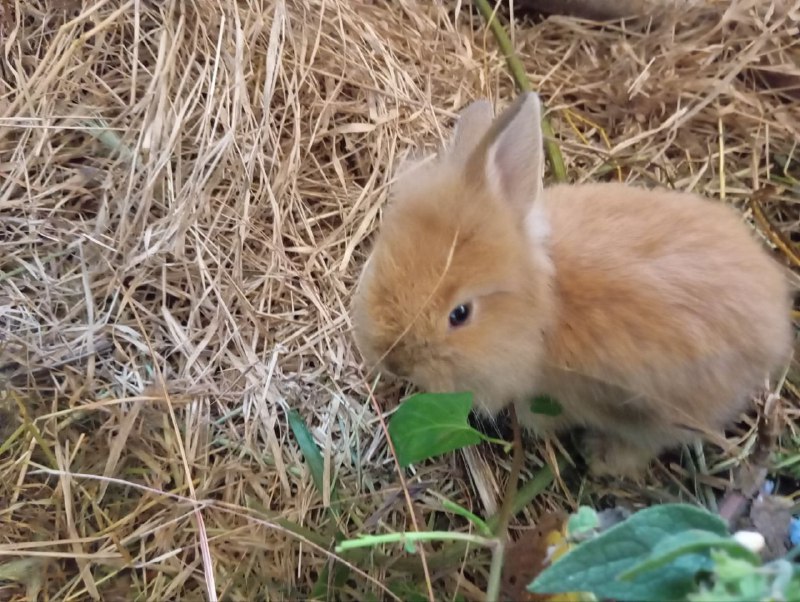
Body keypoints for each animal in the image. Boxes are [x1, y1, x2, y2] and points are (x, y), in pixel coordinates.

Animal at [354, 92, 796, 478]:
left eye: (460, 315)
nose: (393, 361)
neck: (545, 306)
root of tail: (777, 323)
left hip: (663, 414)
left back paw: (601, 459)